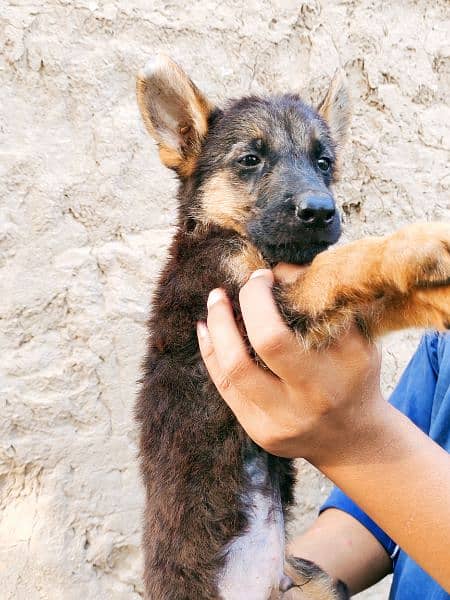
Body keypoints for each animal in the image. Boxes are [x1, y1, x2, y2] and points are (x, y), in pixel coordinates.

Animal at [135, 54, 450, 596]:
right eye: (249, 160)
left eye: (324, 163)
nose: (320, 212)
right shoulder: (248, 302)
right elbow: (341, 264)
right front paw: (416, 245)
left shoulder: (327, 310)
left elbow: (378, 295)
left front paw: (438, 294)